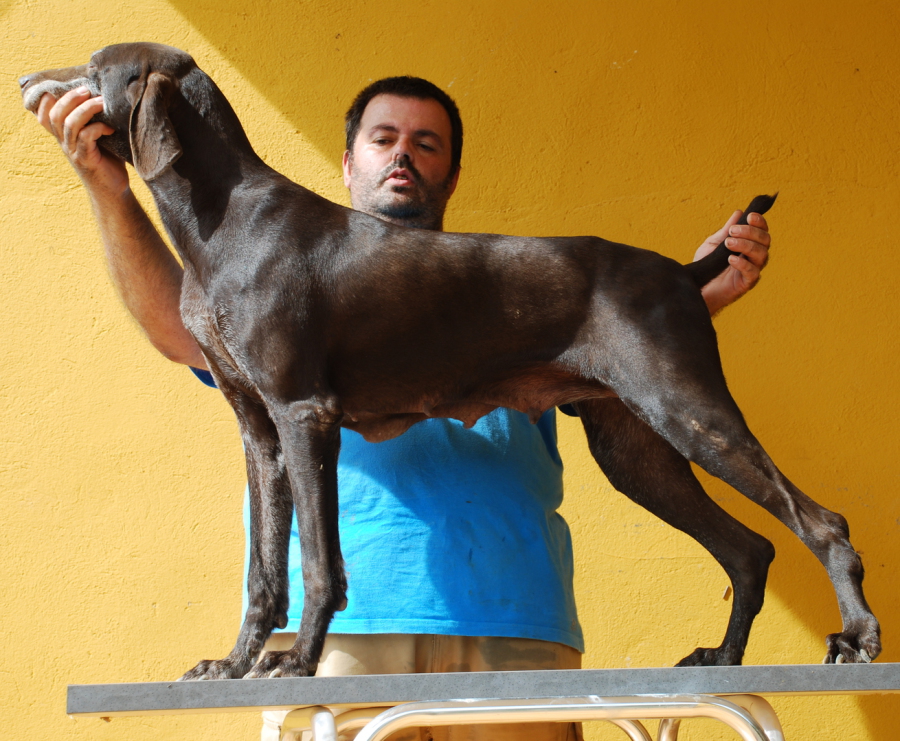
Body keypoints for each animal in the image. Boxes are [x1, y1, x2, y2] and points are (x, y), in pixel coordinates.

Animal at [21, 42, 881, 679]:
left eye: (94, 66)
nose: (27, 79)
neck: (222, 217)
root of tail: (679, 271)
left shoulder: (306, 413)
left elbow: (318, 561)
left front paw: (296, 662)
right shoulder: (259, 431)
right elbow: (266, 568)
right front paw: (233, 664)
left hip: (688, 409)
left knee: (820, 522)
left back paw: (855, 637)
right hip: (634, 446)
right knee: (750, 547)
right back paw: (726, 656)